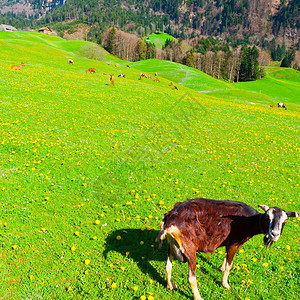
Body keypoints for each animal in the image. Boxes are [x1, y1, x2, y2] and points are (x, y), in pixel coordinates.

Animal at [157, 198, 298, 298]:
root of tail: (169, 221)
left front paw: (221, 267)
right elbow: (230, 264)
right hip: (189, 247)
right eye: (268, 217)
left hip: (171, 244)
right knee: (191, 277)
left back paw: (170, 286)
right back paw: (198, 297)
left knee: (168, 266)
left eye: (285, 221)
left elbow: (225, 256)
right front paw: (225, 284)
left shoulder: (228, 242)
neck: (249, 220)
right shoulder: (235, 244)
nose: (274, 234)